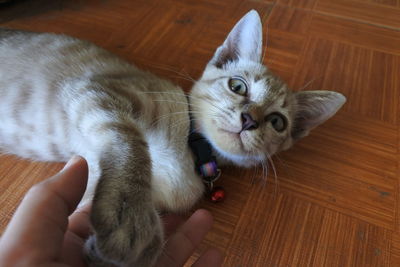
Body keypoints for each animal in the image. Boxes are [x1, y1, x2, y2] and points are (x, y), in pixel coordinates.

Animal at [0, 9, 344, 266]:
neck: (191, 152)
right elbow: (129, 144)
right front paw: (130, 218)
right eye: (238, 86)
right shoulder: (96, 90)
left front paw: (114, 253)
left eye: (277, 121)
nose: (249, 120)